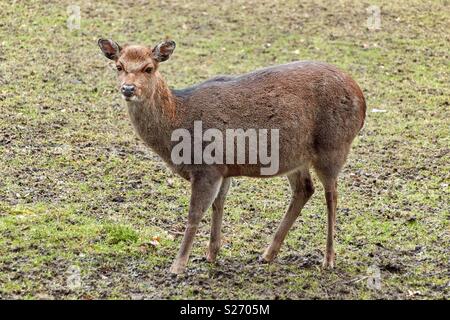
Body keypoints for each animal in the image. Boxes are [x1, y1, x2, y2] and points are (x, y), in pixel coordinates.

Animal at [97, 37, 366, 272]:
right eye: (119, 66)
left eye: (149, 68)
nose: (128, 88)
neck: (178, 119)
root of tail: (362, 99)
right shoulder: (224, 169)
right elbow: (218, 205)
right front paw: (210, 255)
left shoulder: (207, 166)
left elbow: (195, 213)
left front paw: (177, 266)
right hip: (295, 157)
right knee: (304, 189)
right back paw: (268, 253)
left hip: (333, 146)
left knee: (332, 195)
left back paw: (328, 259)